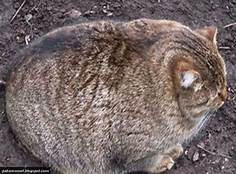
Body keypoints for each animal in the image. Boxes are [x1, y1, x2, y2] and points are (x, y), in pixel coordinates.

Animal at [3, 18, 227, 173]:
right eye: (216, 93)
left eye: (225, 79)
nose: (227, 96)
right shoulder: (134, 150)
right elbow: (148, 162)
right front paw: (163, 160)